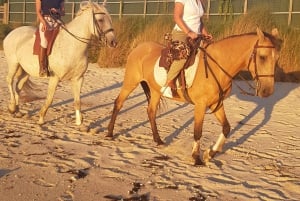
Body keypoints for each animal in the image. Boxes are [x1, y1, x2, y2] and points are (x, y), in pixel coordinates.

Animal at [107, 27, 282, 165]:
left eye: (276, 59)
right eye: (262, 57)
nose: (267, 91)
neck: (217, 66)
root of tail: (139, 48)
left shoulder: (216, 104)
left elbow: (226, 127)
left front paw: (210, 153)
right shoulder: (201, 105)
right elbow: (198, 131)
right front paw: (196, 158)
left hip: (155, 90)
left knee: (151, 111)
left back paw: (158, 140)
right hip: (130, 83)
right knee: (118, 103)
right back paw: (109, 133)